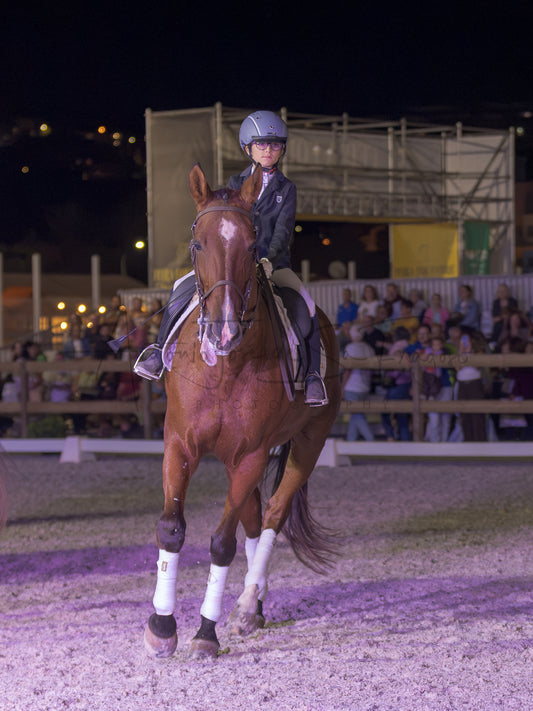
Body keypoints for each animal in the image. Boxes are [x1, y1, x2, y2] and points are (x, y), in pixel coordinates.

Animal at [144, 163, 341, 660]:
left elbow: (221, 544)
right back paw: (251, 607)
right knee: (254, 521)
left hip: (307, 443)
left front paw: (204, 633)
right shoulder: (180, 444)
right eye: (197, 244)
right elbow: (172, 528)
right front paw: (161, 628)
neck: (227, 365)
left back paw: (249, 604)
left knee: (271, 516)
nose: (224, 331)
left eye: (253, 247)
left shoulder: (250, 453)